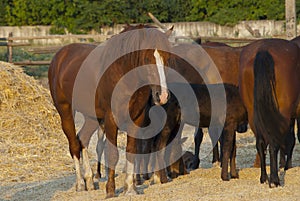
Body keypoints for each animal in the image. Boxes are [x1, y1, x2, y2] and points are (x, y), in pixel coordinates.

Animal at [48, 25, 173, 198]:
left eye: (167, 58)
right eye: (147, 59)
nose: (162, 96)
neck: (124, 76)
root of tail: (59, 56)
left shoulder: (137, 119)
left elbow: (131, 151)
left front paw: (130, 188)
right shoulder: (111, 119)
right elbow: (113, 155)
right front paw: (110, 191)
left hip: (92, 117)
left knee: (82, 139)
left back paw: (89, 180)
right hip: (65, 111)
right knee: (73, 144)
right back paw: (80, 184)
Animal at [239, 38, 300, 187]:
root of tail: (263, 49)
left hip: (253, 114)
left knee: (261, 144)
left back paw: (264, 178)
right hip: (282, 112)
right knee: (274, 143)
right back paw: (274, 179)